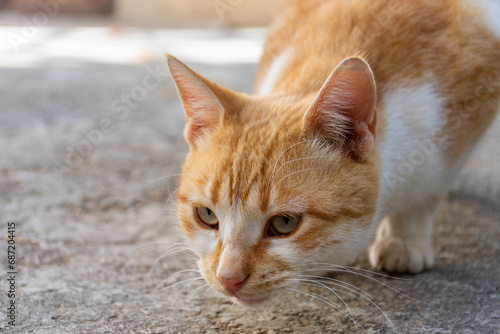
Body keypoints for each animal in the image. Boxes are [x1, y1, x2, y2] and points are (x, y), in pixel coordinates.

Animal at [165, 0, 500, 306]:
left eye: (285, 223)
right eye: (206, 215)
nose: (228, 278)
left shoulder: (459, 128)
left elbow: (428, 194)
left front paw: (404, 238)